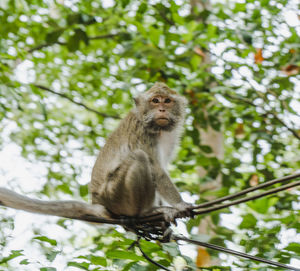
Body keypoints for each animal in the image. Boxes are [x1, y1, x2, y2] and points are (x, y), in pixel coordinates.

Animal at [89, 82, 192, 223]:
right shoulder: (142, 133)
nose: (162, 110)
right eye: (155, 101)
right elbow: (157, 171)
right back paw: (146, 212)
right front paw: (180, 204)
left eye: (167, 101)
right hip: (114, 194)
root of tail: (97, 200)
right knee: (140, 157)